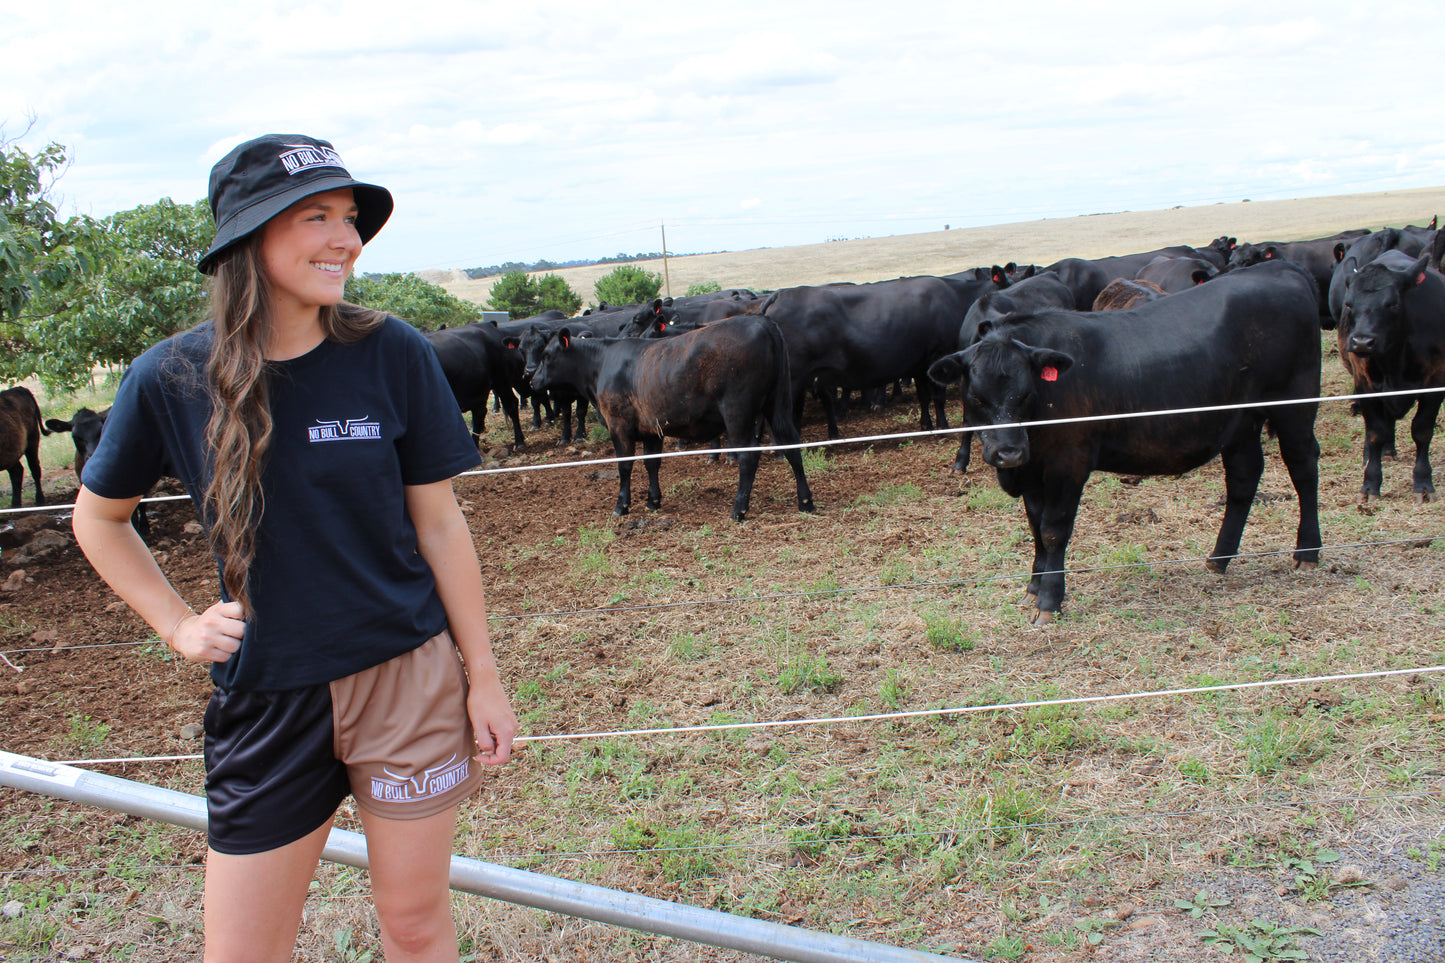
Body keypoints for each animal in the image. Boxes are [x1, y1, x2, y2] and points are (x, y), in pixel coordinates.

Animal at [531, 316, 820, 520]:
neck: (602, 363)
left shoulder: (619, 425)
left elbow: (625, 466)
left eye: (547, 355)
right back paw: (806, 502)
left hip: (737, 412)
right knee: (792, 445)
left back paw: (738, 510)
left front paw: (621, 506)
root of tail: (762, 321)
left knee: (748, 457)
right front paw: (653, 501)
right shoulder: (650, 428)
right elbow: (652, 463)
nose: (532, 379)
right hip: (778, 405)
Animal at [924, 257, 1323, 621]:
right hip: (1241, 422)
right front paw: (1033, 588)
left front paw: (1049, 600)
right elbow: (1035, 527)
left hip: (1295, 407)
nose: (1008, 452)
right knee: (1243, 477)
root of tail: (1278, 268)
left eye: (1025, 393)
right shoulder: (1033, 469)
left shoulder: (1068, 463)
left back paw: (1307, 553)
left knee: (1303, 467)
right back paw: (1219, 559)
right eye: (976, 396)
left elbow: (1054, 530)